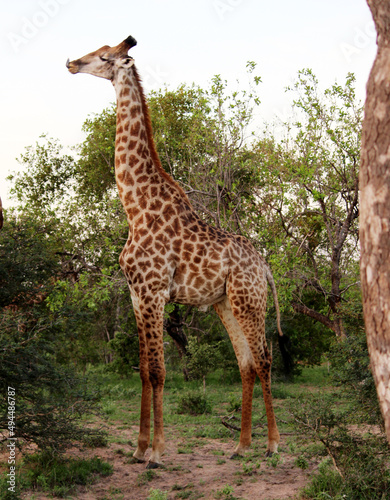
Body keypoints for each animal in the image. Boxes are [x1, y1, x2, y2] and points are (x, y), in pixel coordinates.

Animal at [68, 36, 284, 468]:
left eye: (103, 56)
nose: (71, 62)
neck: (135, 207)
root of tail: (264, 267)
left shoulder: (154, 292)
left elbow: (159, 371)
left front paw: (157, 452)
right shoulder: (136, 294)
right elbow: (143, 370)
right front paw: (138, 449)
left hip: (250, 301)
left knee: (265, 359)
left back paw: (271, 445)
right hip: (225, 304)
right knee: (247, 364)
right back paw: (241, 445)